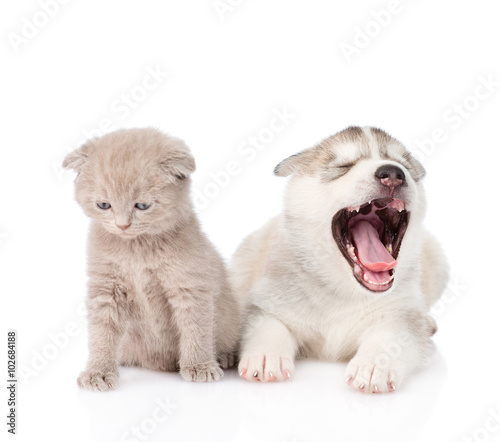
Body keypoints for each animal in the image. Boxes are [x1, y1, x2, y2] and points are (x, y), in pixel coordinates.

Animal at [63, 128, 240, 390]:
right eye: (104, 205)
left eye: (142, 205)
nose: (122, 225)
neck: (137, 251)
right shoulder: (106, 288)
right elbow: (102, 333)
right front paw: (98, 371)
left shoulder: (189, 286)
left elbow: (195, 327)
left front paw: (199, 366)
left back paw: (225, 356)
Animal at [233, 126, 450, 392]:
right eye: (344, 166)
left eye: (404, 165)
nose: (392, 173)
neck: (343, 291)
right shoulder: (267, 302)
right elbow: (268, 326)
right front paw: (265, 357)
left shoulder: (401, 314)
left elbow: (390, 337)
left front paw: (374, 366)